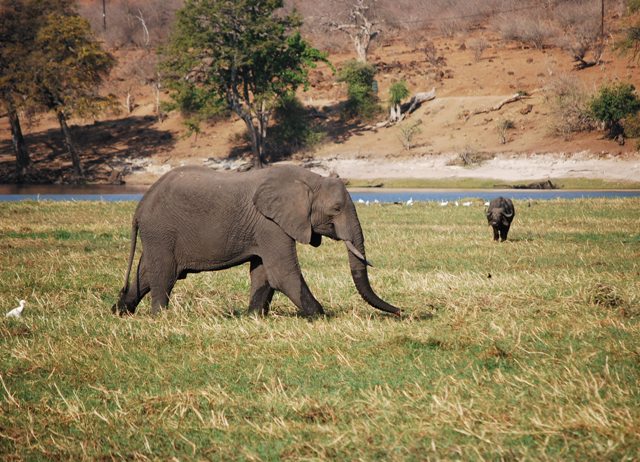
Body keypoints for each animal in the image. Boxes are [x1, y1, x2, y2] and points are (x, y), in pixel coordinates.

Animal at [110, 165, 400, 318]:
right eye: (336, 209)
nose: (401, 311)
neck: (310, 179)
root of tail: (139, 207)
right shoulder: (270, 225)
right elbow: (283, 273)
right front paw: (322, 316)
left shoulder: (266, 229)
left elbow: (263, 273)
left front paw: (253, 317)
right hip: (161, 231)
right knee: (164, 274)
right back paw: (160, 317)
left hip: (157, 234)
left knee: (145, 273)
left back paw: (119, 311)